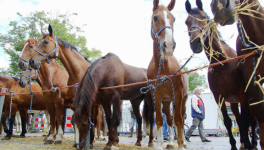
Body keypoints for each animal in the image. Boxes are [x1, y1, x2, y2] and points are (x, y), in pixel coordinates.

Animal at [147, 0, 189, 149]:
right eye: (155, 18)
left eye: (174, 19)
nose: (169, 46)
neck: (164, 67)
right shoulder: (156, 94)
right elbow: (160, 119)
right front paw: (160, 144)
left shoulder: (178, 93)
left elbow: (179, 120)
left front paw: (181, 145)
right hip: (167, 101)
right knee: (170, 119)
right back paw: (170, 142)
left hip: (182, 100)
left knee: (179, 118)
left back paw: (183, 142)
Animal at [185, 0, 256, 149]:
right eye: (186, 21)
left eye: (204, 18)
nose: (195, 43)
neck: (223, 65)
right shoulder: (220, 97)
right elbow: (229, 122)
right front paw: (234, 145)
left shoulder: (243, 96)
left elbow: (245, 121)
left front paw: (247, 143)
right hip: (234, 102)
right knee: (239, 120)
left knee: (251, 121)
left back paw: (252, 143)